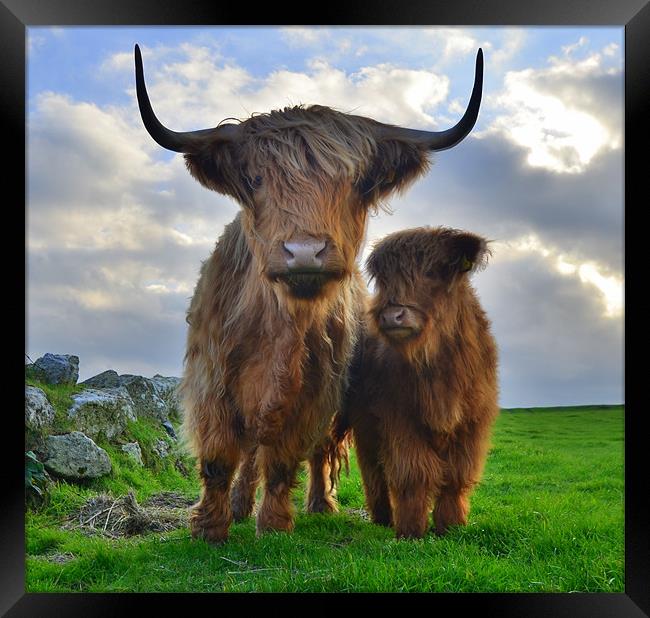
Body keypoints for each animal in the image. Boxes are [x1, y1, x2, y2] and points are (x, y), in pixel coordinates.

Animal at [334, 227, 496, 540]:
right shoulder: (400, 420)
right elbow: (414, 473)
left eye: (432, 272)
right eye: (385, 279)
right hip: (366, 427)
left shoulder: (471, 423)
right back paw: (383, 517)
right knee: (374, 471)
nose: (391, 315)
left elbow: (456, 475)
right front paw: (411, 531)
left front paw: (451, 526)